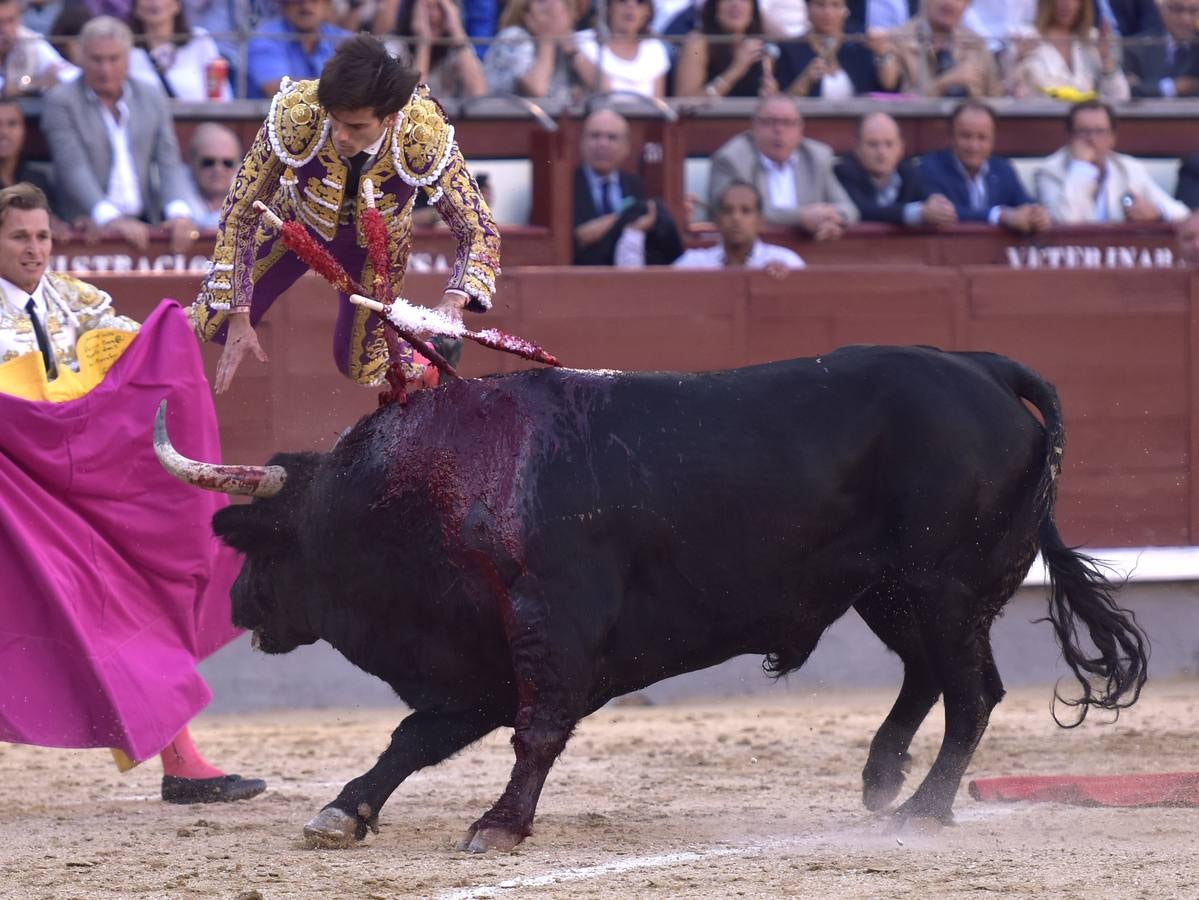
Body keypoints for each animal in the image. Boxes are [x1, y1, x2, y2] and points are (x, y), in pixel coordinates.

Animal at [154, 345, 1146, 853]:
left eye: (265, 541)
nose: (238, 608)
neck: (425, 489)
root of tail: (979, 366)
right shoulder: (476, 661)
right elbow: (414, 738)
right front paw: (344, 809)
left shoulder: (548, 633)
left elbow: (533, 731)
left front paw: (498, 827)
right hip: (891, 592)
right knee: (932, 679)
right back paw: (881, 780)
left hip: (940, 586)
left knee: (972, 690)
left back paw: (922, 809)